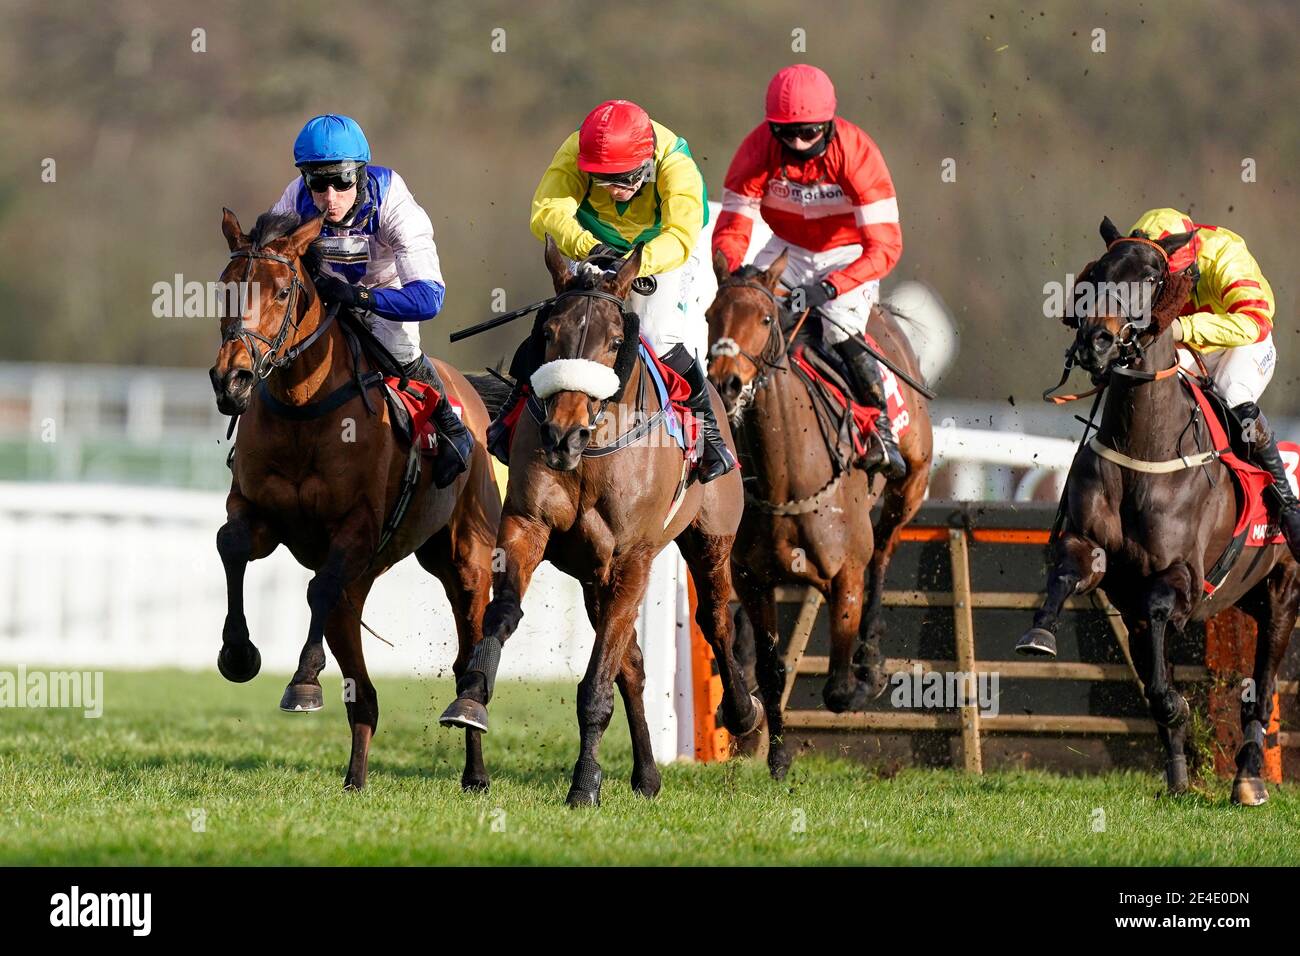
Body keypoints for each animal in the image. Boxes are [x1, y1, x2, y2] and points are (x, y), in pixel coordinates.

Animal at [210, 209, 499, 790]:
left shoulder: (356, 530)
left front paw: (302, 682)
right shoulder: (258, 514)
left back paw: (474, 759)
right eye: (225, 288)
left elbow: (316, 589)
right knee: (362, 693)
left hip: (466, 560)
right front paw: (238, 653)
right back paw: (356, 777)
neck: (304, 408)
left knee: (467, 658)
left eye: (281, 292)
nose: (232, 379)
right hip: (366, 579)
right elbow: (231, 546)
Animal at [439, 235, 759, 806]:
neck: (591, 457)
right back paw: (647, 774)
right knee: (631, 665)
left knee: (715, 619)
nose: (563, 435)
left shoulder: (632, 558)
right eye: (547, 335)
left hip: (709, 539)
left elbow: (595, 685)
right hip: (594, 576)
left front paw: (584, 785)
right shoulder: (527, 526)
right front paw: (471, 699)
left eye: (613, 342)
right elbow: (503, 614)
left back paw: (742, 714)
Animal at [702, 252, 935, 780]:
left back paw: (870, 657)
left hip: (909, 487)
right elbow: (771, 668)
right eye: (709, 315)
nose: (726, 382)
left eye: (765, 319)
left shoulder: (845, 575)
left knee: (884, 552)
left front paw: (863, 677)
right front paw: (777, 755)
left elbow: (837, 687)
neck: (787, 476)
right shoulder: (753, 579)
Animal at [1019, 218, 1294, 806]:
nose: (1096, 341)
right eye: (1097, 273)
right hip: (1250, 596)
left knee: (1263, 688)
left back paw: (1248, 778)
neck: (1146, 447)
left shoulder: (1183, 575)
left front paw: (1176, 703)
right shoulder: (1098, 558)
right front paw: (1039, 634)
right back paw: (1181, 775)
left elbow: (1164, 609)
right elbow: (1068, 572)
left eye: (1150, 276)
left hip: (1283, 595)